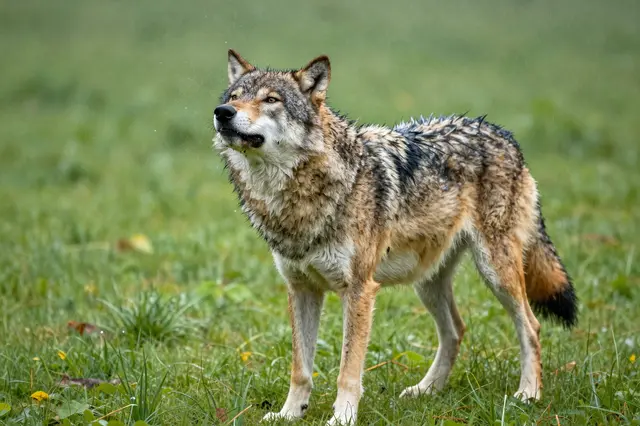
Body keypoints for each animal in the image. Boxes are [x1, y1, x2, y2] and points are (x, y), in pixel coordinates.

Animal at [212, 50, 577, 425]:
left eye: (271, 100)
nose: (222, 112)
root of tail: (502, 133)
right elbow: (300, 368)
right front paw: (289, 414)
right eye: (234, 97)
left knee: (530, 326)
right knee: (456, 330)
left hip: (496, 273)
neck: (299, 198)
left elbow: (348, 370)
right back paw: (426, 390)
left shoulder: (359, 290)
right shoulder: (301, 289)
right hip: (427, 282)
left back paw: (528, 393)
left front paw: (342, 417)